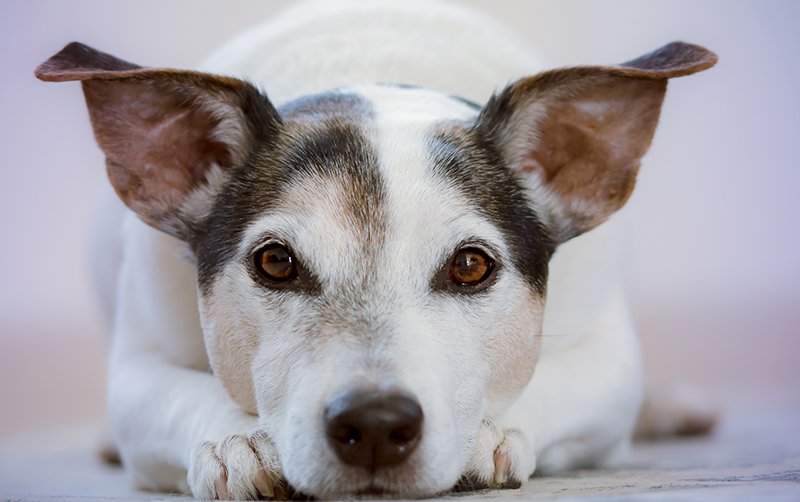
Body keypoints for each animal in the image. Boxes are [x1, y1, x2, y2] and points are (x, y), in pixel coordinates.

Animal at [34, 0, 716, 498]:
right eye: (275, 262)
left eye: (471, 265)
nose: (377, 424)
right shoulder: (136, 368)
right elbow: (176, 395)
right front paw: (239, 440)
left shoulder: (609, 361)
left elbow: (555, 382)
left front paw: (487, 433)